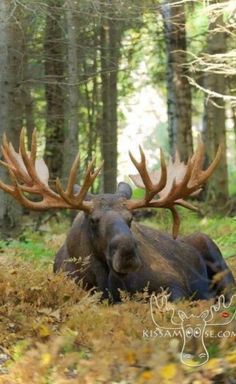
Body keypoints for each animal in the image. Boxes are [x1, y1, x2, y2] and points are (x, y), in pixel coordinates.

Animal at [0, 130, 234, 302]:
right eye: (93, 220)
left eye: (131, 218)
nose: (127, 251)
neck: (104, 283)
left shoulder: (175, 283)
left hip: (213, 251)